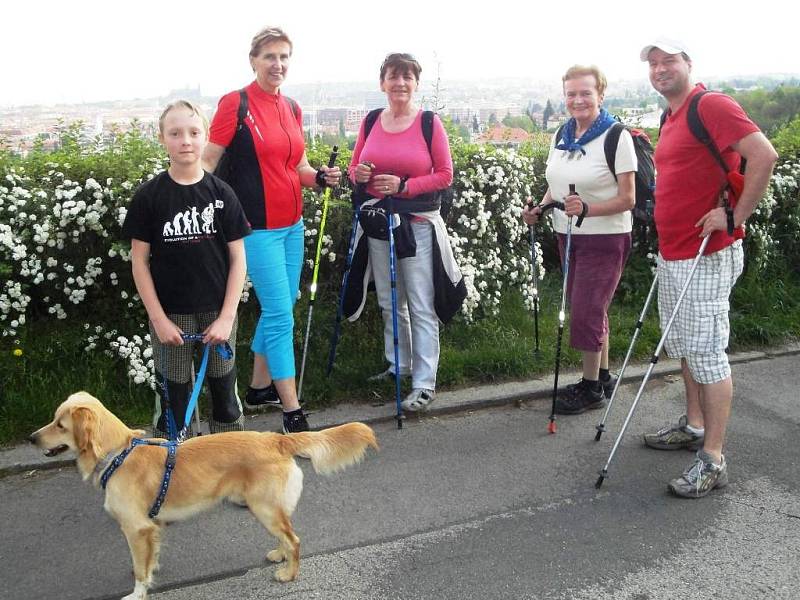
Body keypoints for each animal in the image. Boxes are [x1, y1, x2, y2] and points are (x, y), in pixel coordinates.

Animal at [29, 392, 380, 596]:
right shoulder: (151, 528)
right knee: (287, 535)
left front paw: (138, 591)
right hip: (267, 508)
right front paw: (152, 568)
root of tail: (275, 438)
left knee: (294, 539)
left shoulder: (136, 528)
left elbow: (140, 571)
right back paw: (279, 555)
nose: (32, 438)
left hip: (263, 507)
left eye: (60, 425)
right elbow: (150, 559)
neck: (118, 453)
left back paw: (288, 573)